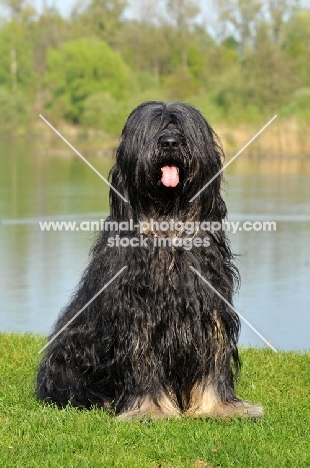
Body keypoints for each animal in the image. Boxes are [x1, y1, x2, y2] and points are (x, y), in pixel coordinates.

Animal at [37, 102, 264, 420]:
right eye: (154, 128)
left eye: (180, 127)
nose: (169, 142)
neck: (167, 220)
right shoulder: (137, 310)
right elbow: (141, 358)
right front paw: (149, 409)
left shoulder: (209, 305)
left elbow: (213, 362)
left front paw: (219, 407)